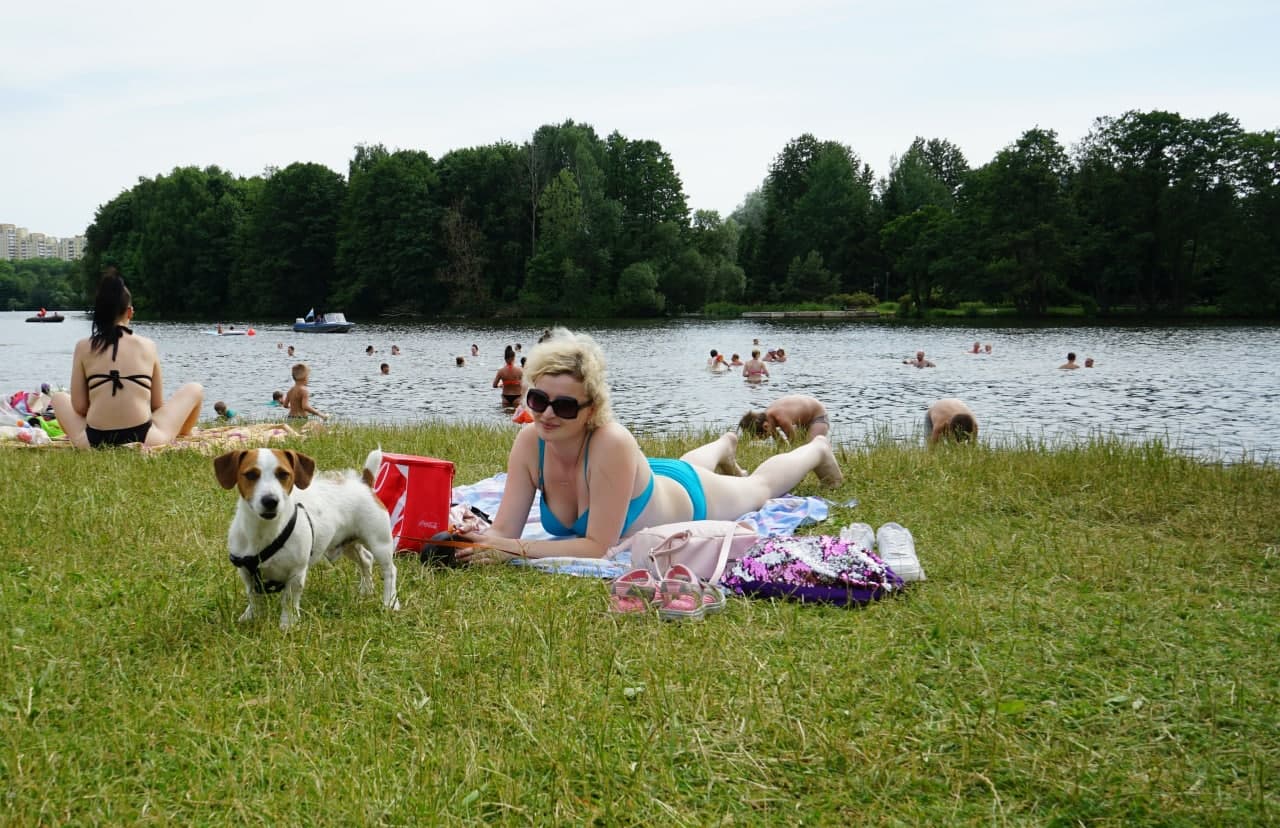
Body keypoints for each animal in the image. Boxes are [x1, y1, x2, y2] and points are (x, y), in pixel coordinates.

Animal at [213, 450, 399, 632]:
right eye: (251, 474)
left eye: (283, 474)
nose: (270, 501)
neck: (265, 531)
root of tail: (364, 482)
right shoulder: (246, 572)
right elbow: (253, 597)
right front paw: (252, 616)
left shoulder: (296, 572)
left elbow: (288, 600)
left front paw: (288, 624)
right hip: (348, 543)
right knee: (366, 559)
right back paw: (366, 590)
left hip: (379, 542)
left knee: (390, 571)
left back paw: (390, 602)